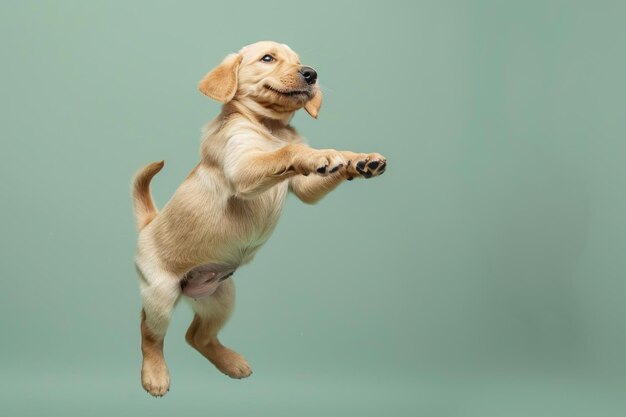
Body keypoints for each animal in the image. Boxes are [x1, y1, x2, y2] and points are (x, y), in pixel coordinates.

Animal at [132, 41, 386, 396]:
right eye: (268, 58)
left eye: (299, 61)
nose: (311, 73)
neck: (272, 127)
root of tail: (148, 225)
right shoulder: (243, 167)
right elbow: (286, 153)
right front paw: (319, 154)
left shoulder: (305, 189)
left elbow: (322, 161)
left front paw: (361, 160)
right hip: (161, 295)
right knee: (149, 332)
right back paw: (154, 375)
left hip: (221, 296)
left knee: (196, 336)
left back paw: (231, 363)